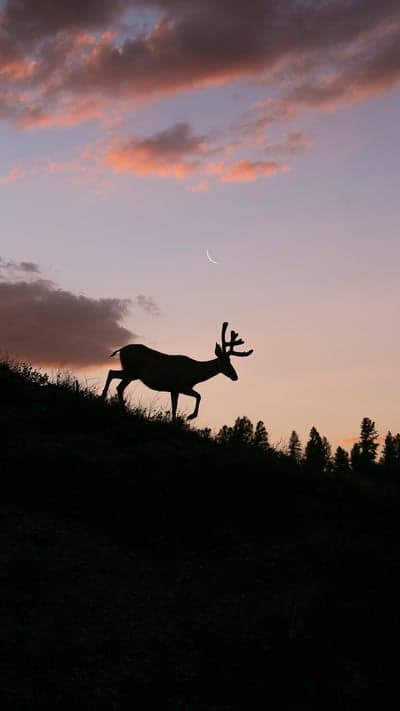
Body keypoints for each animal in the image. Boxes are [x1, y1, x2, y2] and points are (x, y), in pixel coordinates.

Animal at [100, 322, 253, 420]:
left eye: (231, 362)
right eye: (226, 363)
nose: (235, 376)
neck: (194, 374)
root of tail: (121, 349)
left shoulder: (177, 389)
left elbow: (179, 404)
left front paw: (177, 420)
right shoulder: (179, 385)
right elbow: (197, 397)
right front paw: (190, 416)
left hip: (130, 372)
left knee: (111, 372)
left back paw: (103, 397)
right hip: (132, 371)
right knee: (119, 386)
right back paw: (121, 407)